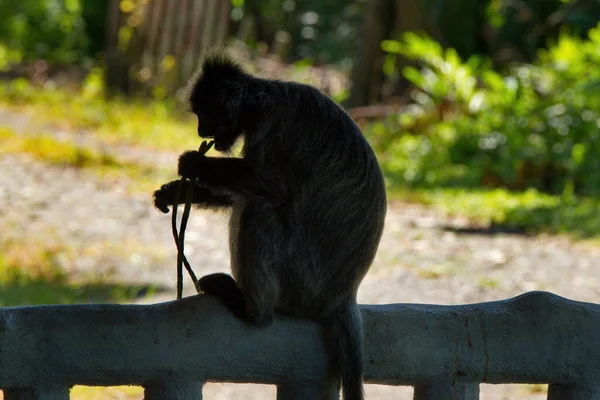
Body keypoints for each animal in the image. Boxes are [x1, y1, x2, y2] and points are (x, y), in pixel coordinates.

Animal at [155, 50, 386, 400]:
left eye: (205, 113)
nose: (200, 131)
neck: (260, 98)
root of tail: (344, 294)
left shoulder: (271, 123)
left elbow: (272, 188)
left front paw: (195, 164)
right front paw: (176, 192)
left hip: (301, 283)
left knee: (259, 209)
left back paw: (253, 311)